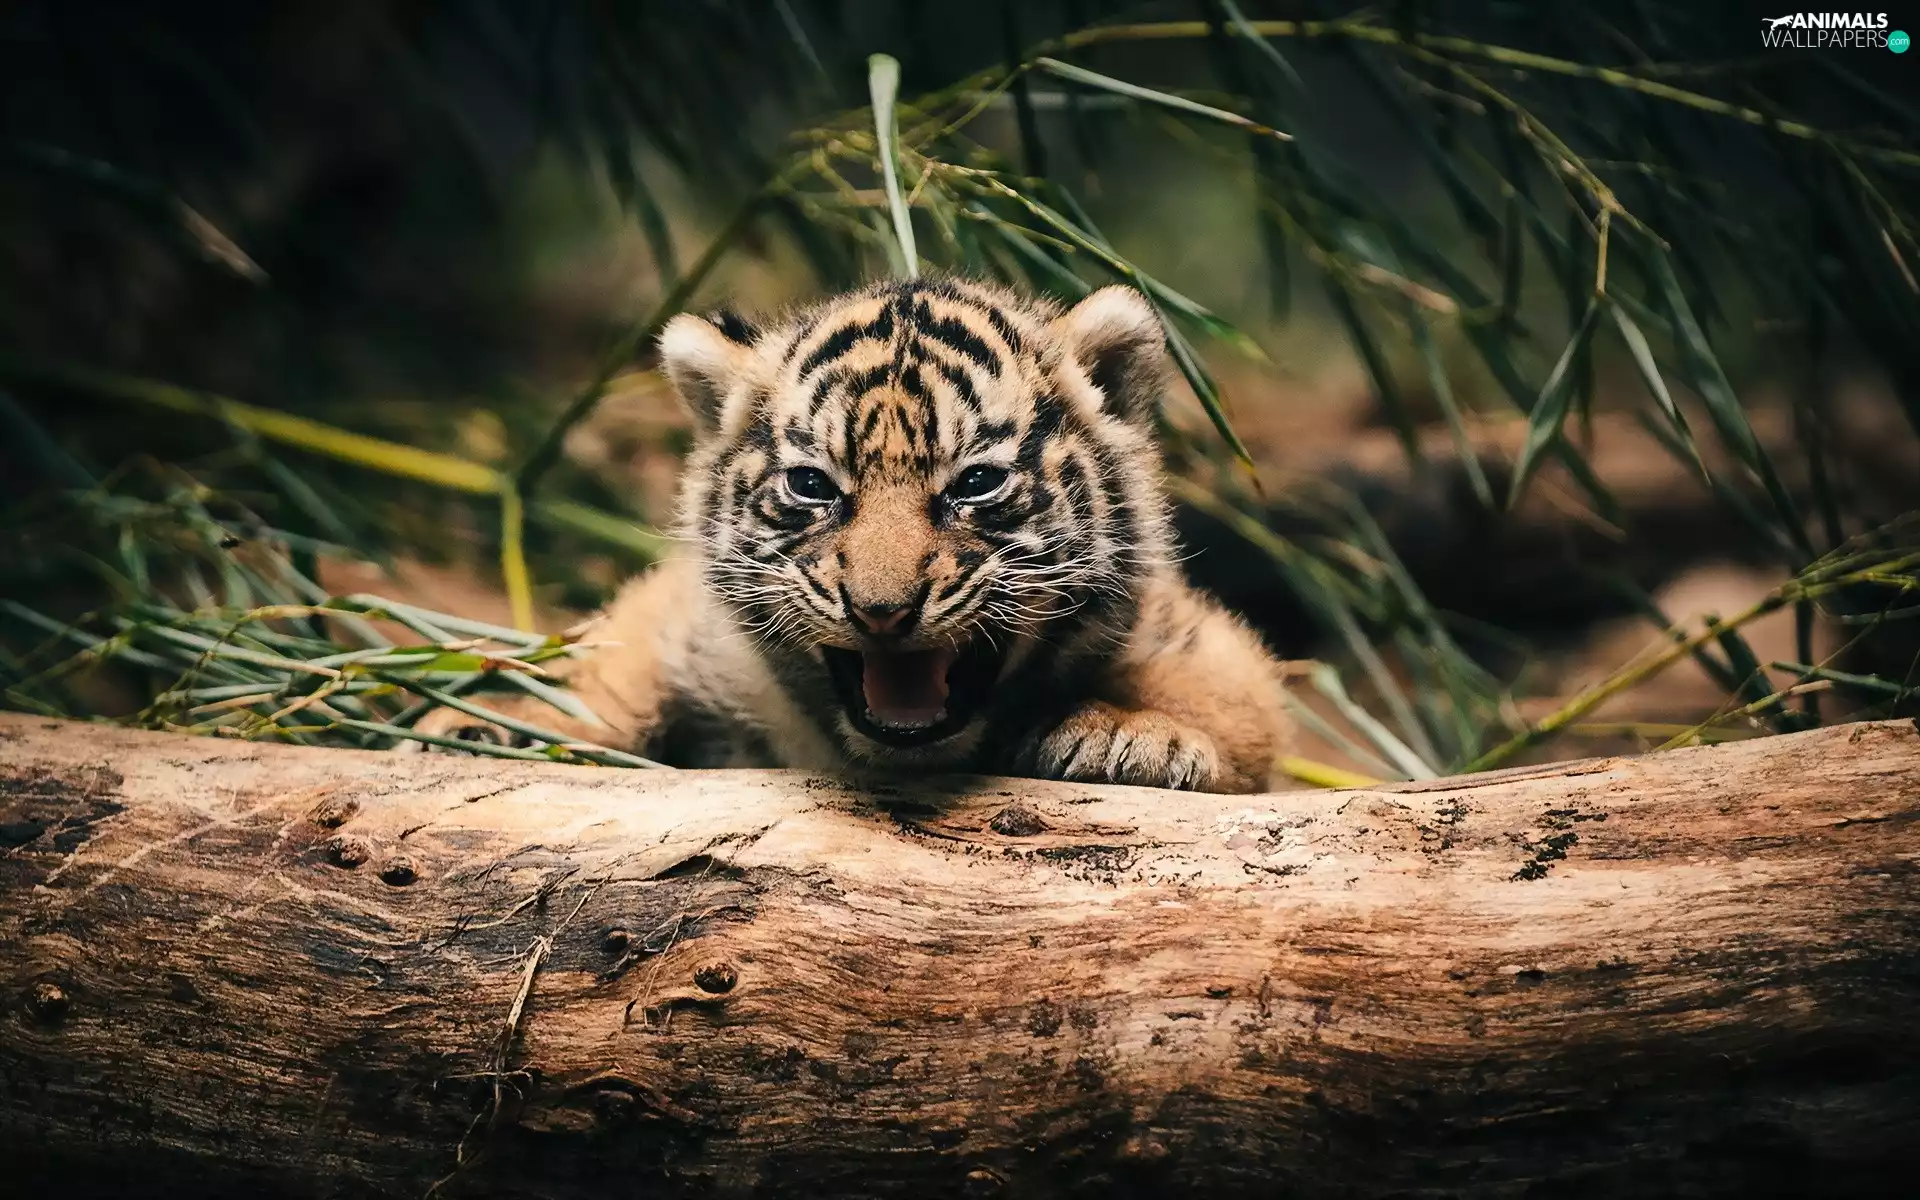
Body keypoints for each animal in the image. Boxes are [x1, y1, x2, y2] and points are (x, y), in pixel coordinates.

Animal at [416, 278, 1291, 792]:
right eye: (813, 487)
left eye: (975, 483)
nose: (881, 611)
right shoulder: (683, 618)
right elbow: (611, 657)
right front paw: (493, 721)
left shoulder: (1197, 636)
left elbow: (1229, 696)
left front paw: (1128, 735)